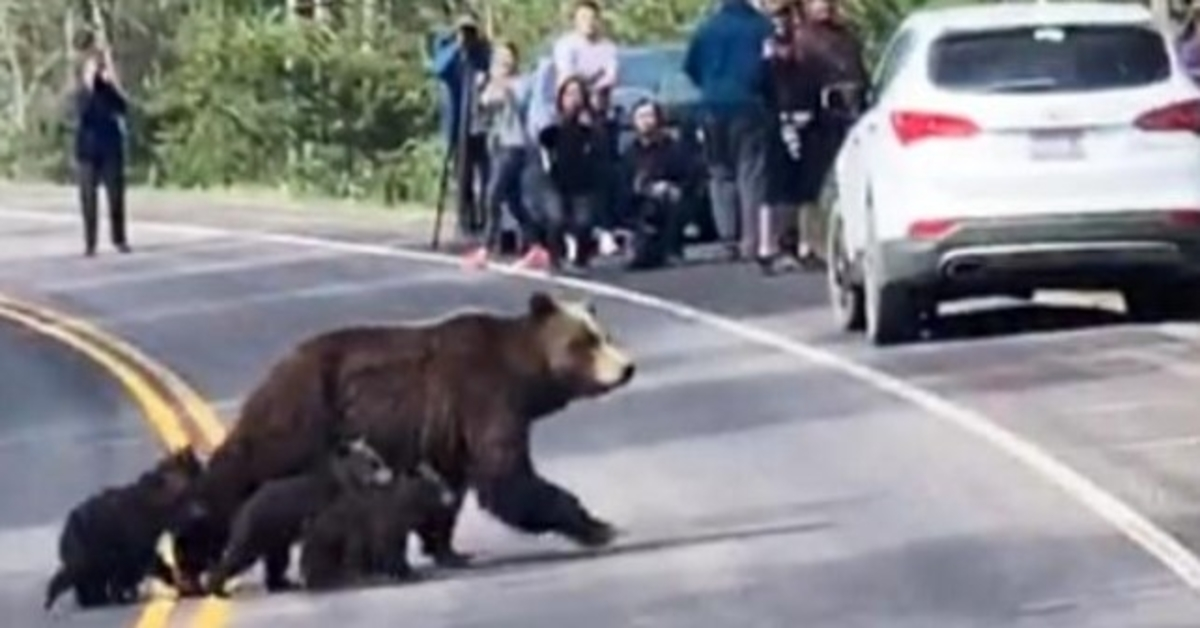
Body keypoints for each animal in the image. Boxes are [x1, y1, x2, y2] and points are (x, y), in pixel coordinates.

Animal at [44, 449, 204, 612]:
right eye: (187, 497)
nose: (198, 514)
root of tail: (65, 527)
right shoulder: (133, 536)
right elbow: (134, 567)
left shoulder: (145, 541)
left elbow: (152, 564)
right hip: (85, 548)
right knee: (76, 572)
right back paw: (55, 600)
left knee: (89, 578)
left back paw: (94, 598)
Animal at [204, 434, 393, 597]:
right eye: (373, 463)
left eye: (379, 460)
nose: (389, 478)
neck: (346, 483)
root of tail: (243, 507)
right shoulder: (326, 508)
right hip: (259, 528)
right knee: (241, 556)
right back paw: (219, 589)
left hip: (275, 536)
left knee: (277, 560)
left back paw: (283, 584)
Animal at [300, 461, 458, 590]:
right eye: (434, 484)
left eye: (441, 479)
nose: (450, 499)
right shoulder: (382, 522)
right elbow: (387, 548)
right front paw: (401, 572)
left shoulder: (399, 526)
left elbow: (398, 548)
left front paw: (407, 571)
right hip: (333, 532)